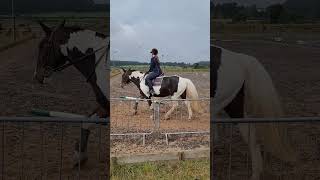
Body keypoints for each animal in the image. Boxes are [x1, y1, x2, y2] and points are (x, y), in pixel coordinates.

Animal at [33, 19, 109, 166]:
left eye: (43, 46)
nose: (37, 76)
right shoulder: (103, 104)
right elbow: (86, 121)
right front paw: (79, 155)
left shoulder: (106, 103)